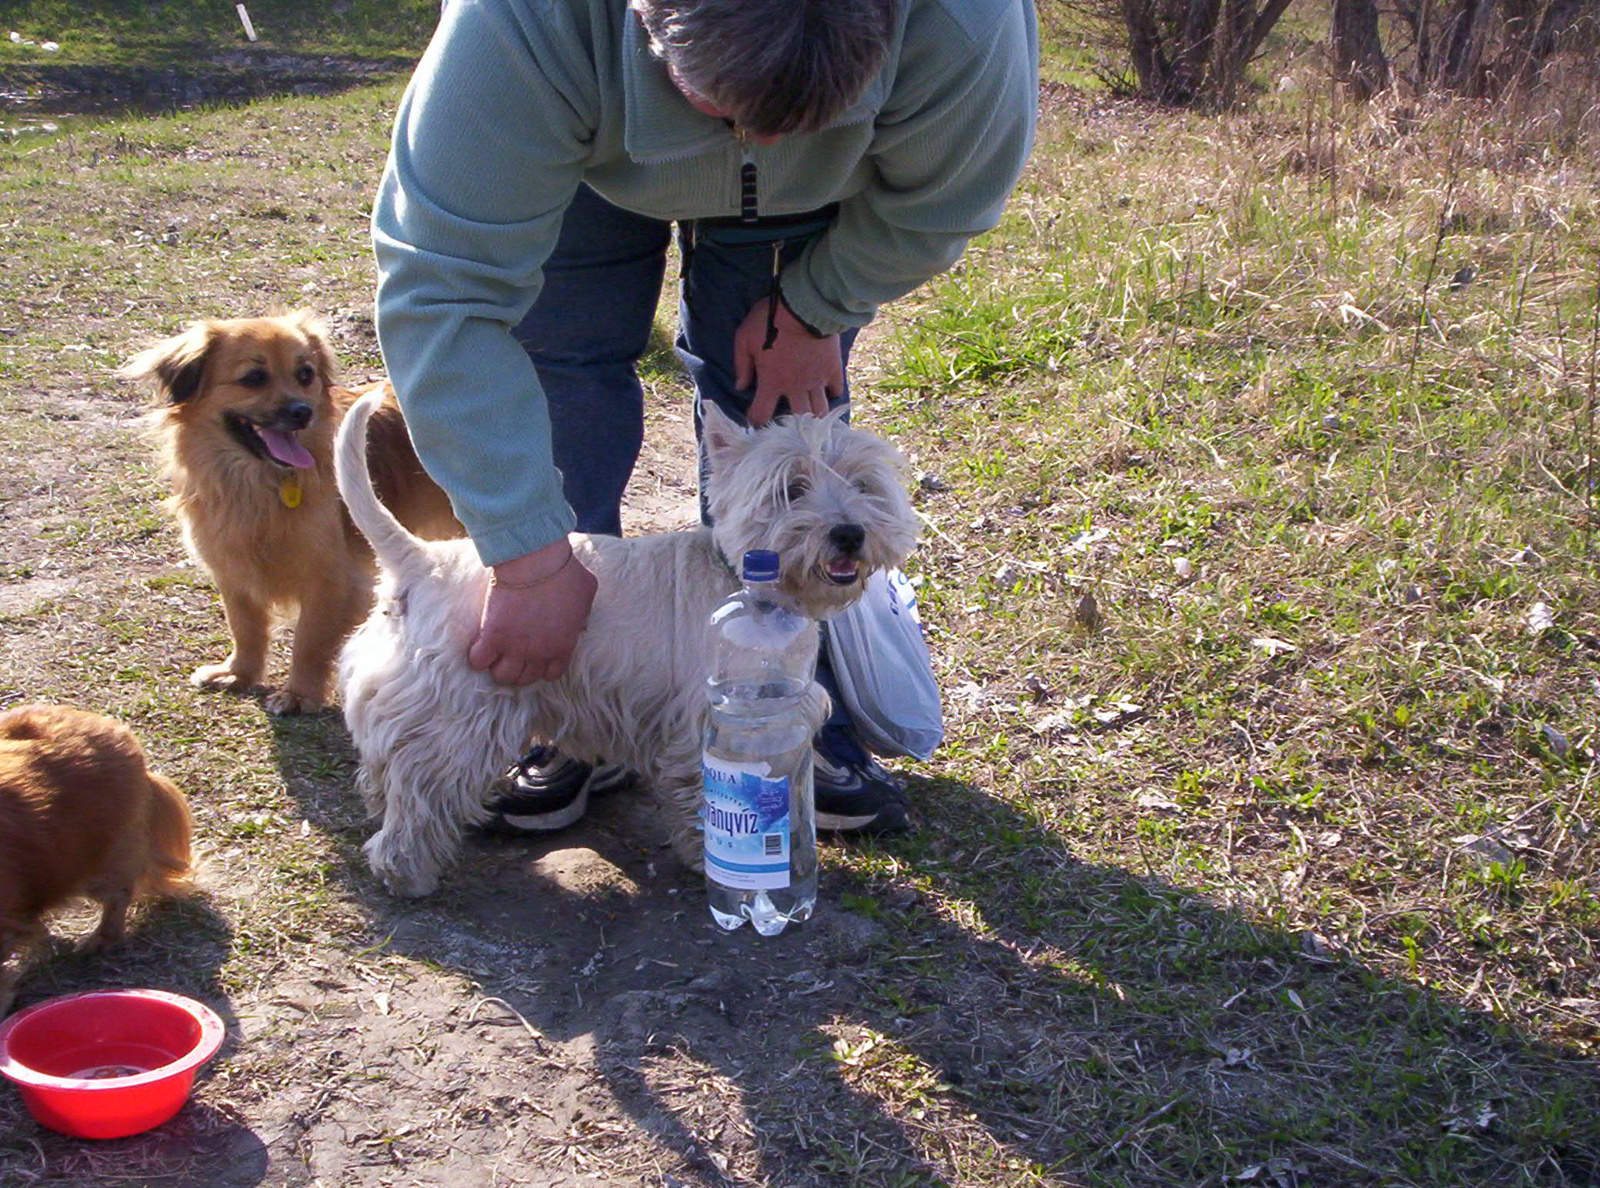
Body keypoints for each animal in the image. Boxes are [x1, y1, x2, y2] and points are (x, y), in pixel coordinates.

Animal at [120, 309, 460, 717]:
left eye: (305, 374)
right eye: (254, 378)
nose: (302, 412)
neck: (258, 484)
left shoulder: (332, 578)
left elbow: (309, 641)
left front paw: (299, 694)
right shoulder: (232, 570)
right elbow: (245, 627)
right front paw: (238, 673)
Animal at [331, 393, 921, 903]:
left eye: (863, 484)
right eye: (791, 489)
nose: (849, 533)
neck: (751, 588)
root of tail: (421, 561)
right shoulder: (699, 725)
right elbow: (702, 796)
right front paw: (714, 857)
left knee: (387, 771)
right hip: (460, 717)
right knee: (419, 794)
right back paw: (408, 873)